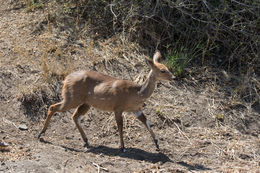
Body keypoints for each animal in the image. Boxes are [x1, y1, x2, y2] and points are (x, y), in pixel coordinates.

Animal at [38, 50, 175, 151]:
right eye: (162, 70)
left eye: (167, 68)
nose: (173, 77)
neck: (136, 93)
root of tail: (66, 79)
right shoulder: (118, 108)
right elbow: (120, 126)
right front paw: (123, 147)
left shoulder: (136, 110)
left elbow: (146, 122)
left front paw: (157, 143)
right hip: (72, 99)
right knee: (53, 107)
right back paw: (41, 134)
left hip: (86, 103)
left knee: (75, 116)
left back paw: (86, 141)